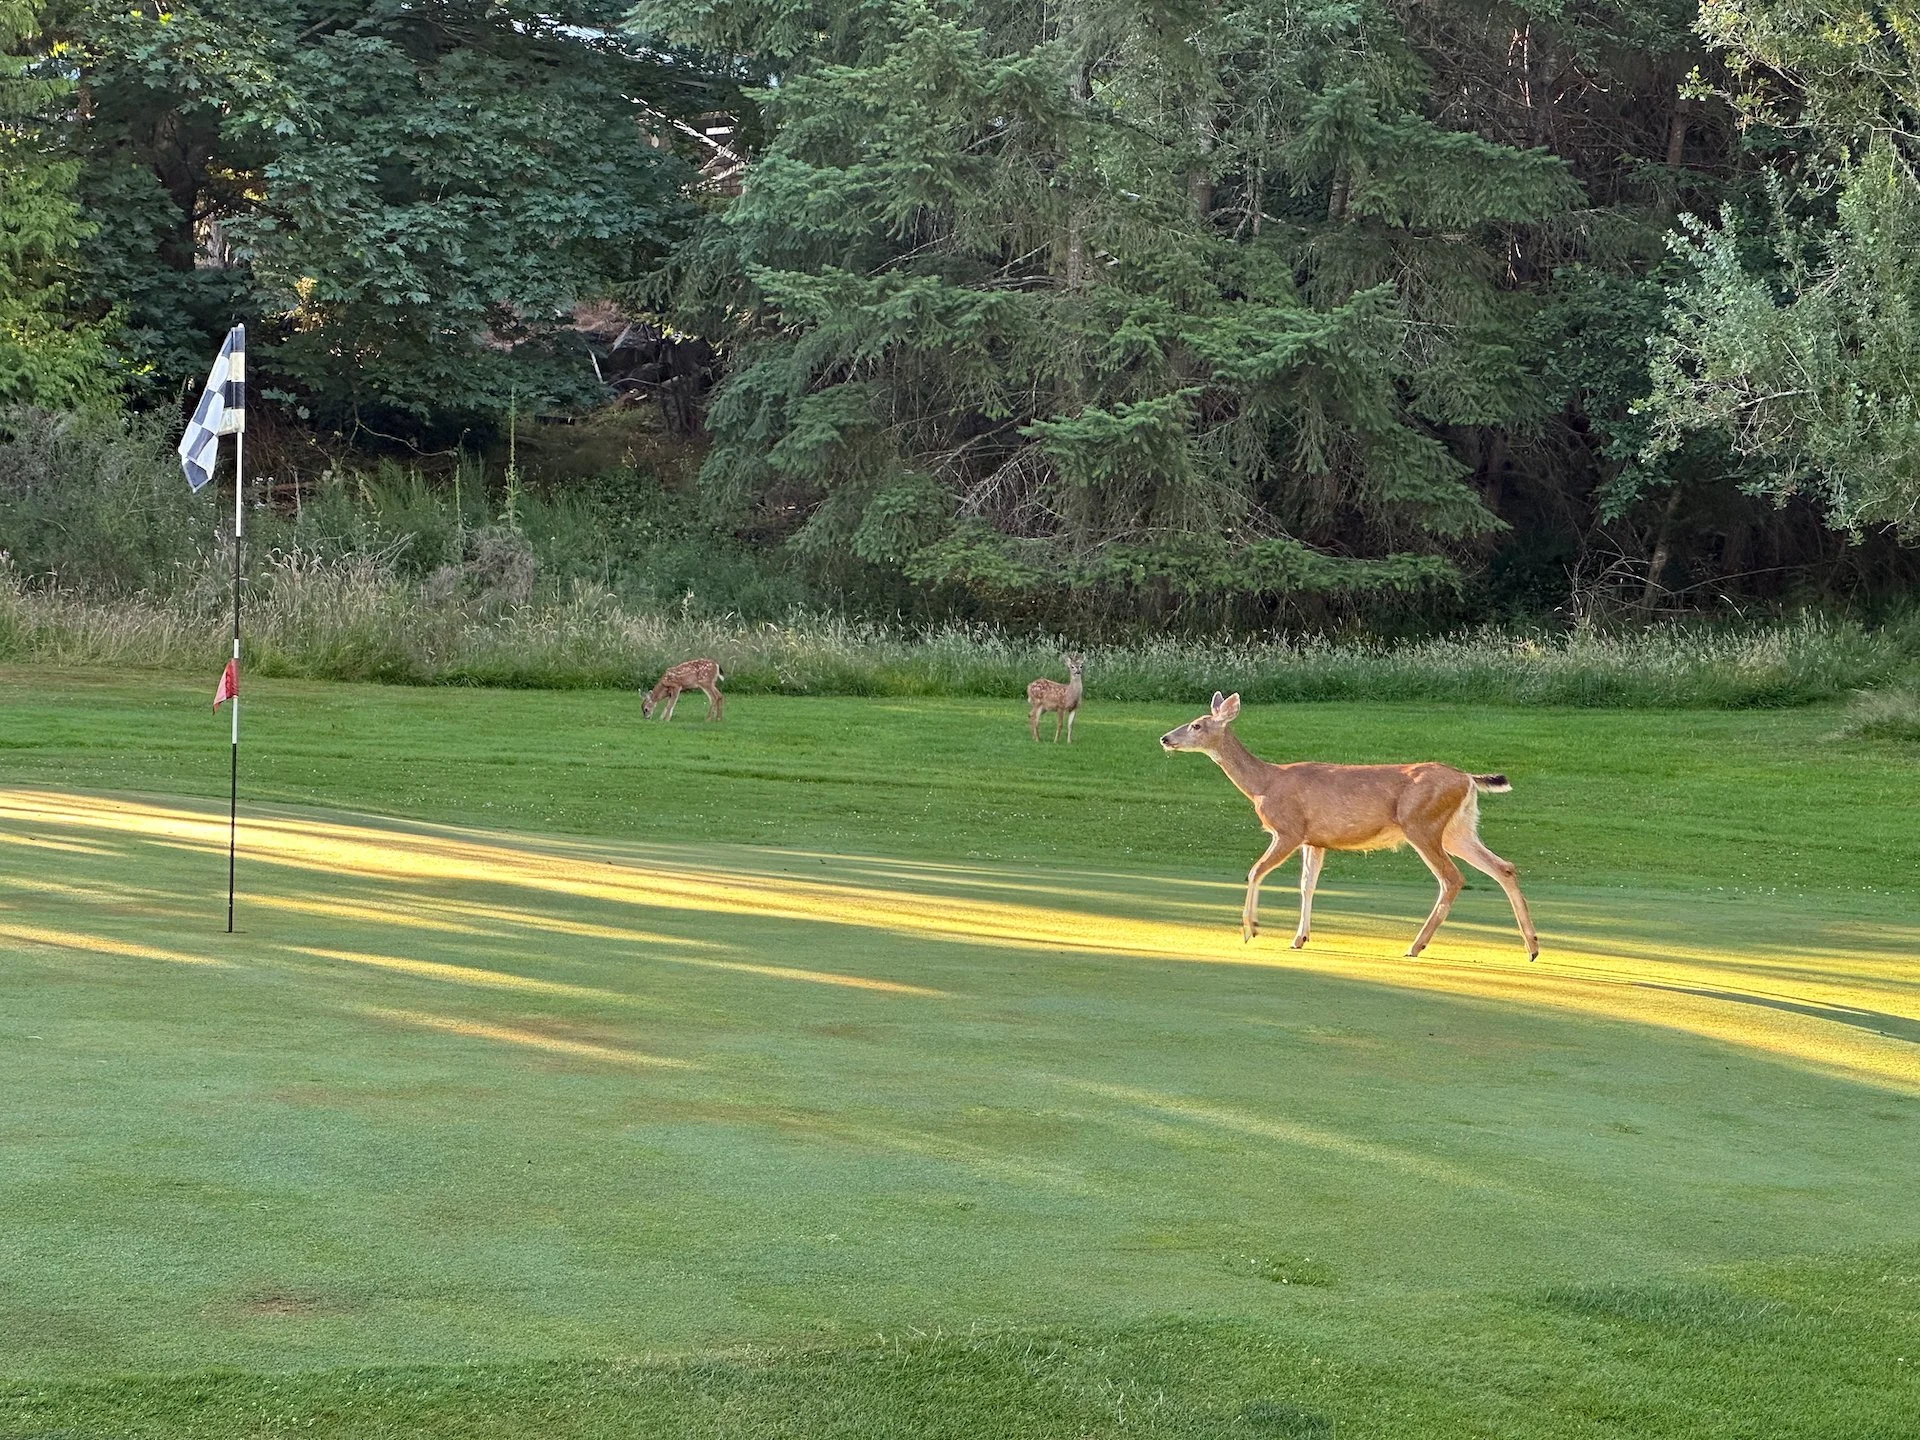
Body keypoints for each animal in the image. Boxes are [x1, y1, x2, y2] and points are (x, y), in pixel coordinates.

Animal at [1160, 692, 1538, 959]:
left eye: (1196, 725)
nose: (1165, 738)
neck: (1264, 783)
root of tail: (1468, 779)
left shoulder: (1289, 829)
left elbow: (1255, 871)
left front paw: (1250, 929)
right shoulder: (1314, 839)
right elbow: (1307, 885)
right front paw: (1299, 938)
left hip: (1422, 823)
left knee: (1452, 878)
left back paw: (1415, 946)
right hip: (1458, 829)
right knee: (1503, 867)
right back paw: (1532, 946)